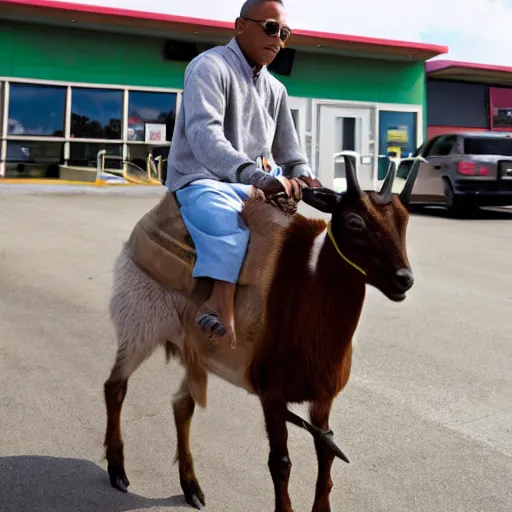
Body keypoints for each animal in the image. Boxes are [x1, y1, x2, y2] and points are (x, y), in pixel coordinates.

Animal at [103, 153, 424, 512]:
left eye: (405, 221)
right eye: (355, 222)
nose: (404, 280)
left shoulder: (322, 397)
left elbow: (325, 454)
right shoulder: (271, 395)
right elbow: (280, 462)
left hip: (194, 349)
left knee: (182, 405)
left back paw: (191, 486)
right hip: (140, 324)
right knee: (115, 386)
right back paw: (117, 470)